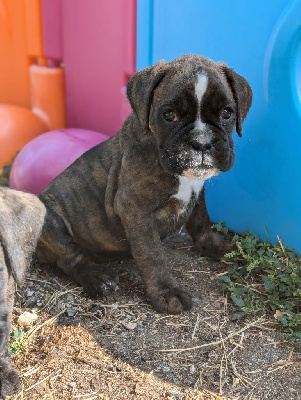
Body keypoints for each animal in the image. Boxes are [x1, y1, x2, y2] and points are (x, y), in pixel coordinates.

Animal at [35, 54, 251, 316]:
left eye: (227, 113)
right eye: (170, 114)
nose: (202, 142)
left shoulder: (197, 192)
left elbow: (201, 219)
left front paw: (212, 244)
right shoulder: (136, 209)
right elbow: (152, 254)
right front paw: (166, 291)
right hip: (50, 216)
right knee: (69, 257)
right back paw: (96, 276)